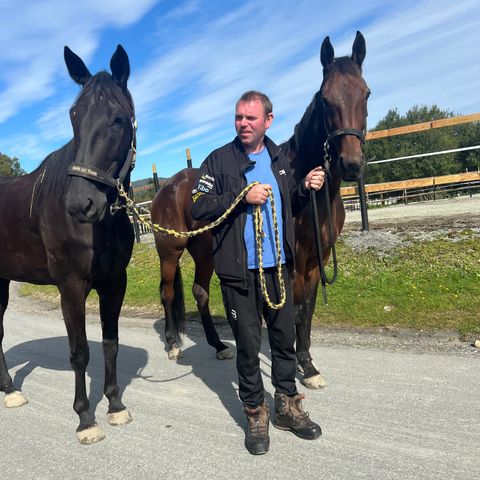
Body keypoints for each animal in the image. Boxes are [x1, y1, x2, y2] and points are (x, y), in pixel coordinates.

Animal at [0, 45, 137, 442]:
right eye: (74, 116)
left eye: (119, 119)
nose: (80, 205)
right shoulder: (71, 287)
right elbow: (79, 352)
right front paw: (85, 418)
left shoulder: (114, 284)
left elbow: (110, 344)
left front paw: (115, 405)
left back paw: (10, 391)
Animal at [150, 32, 368, 390]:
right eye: (325, 99)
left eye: (366, 93)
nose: (350, 163)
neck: (314, 199)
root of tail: (167, 186)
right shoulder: (294, 262)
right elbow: (296, 311)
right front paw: (302, 364)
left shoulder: (315, 262)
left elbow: (307, 311)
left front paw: (308, 365)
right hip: (171, 252)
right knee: (167, 293)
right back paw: (172, 344)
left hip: (206, 253)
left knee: (200, 292)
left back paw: (218, 345)